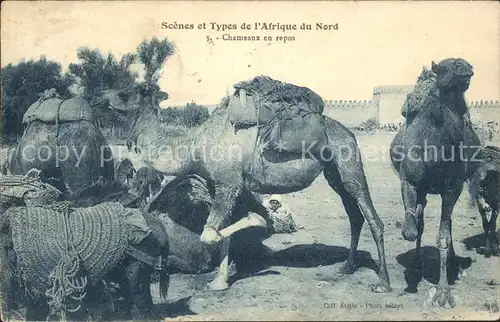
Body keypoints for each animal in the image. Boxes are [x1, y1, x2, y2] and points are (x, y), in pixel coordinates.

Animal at [92, 83, 392, 294]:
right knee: (354, 216)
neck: (194, 147)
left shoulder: (229, 184)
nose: (97, 96)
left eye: (124, 92)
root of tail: (348, 132)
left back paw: (384, 283)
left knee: (372, 217)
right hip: (333, 174)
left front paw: (260, 221)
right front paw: (220, 282)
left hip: (349, 162)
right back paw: (347, 267)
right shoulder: (218, 186)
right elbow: (221, 233)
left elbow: (210, 235)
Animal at [390, 57, 480, 306]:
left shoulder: (452, 188)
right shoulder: (410, 181)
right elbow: (411, 230)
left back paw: (454, 263)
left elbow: (443, 236)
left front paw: (443, 292)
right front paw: (414, 273)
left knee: (447, 225)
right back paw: (417, 265)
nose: (464, 65)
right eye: (443, 68)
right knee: (420, 223)